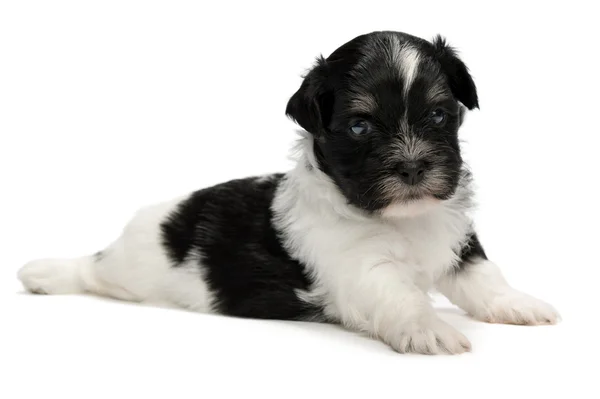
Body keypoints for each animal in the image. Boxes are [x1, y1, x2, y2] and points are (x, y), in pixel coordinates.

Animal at [19, 32, 564, 356]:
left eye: (438, 115)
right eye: (360, 126)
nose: (412, 167)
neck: (399, 218)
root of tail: (155, 221)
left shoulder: (456, 237)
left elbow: (483, 275)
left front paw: (518, 304)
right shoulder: (358, 269)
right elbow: (397, 294)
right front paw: (428, 328)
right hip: (129, 269)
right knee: (90, 270)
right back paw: (44, 274)